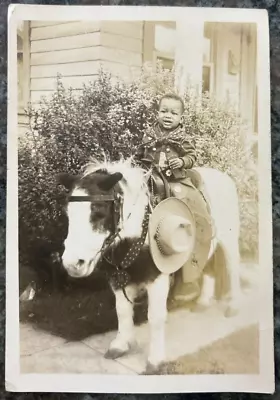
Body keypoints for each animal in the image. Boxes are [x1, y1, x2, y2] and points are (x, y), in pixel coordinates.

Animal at [57, 158, 241, 374]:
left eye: (99, 210)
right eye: (68, 213)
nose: (72, 263)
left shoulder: (157, 278)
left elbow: (155, 318)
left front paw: (155, 360)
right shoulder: (119, 278)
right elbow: (122, 311)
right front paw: (120, 345)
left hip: (230, 240)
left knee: (233, 268)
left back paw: (233, 307)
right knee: (208, 267)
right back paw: (203, 302)